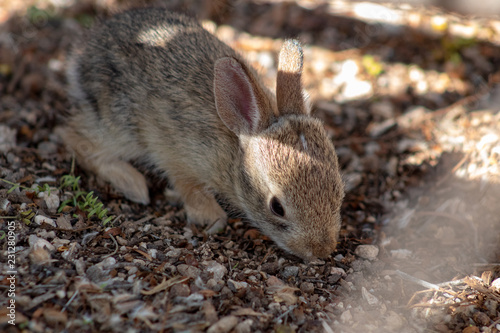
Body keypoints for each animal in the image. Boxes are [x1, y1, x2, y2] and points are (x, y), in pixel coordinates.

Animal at [58, 7, 346, 260]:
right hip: (122, 125)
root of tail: (84, 51)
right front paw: (212, 218)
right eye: (277, 207)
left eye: (339, 192)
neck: (235, 149)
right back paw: (133, 185)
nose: (321, 250)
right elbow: (190, 188)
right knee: (76, 138)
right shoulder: (179, 155)